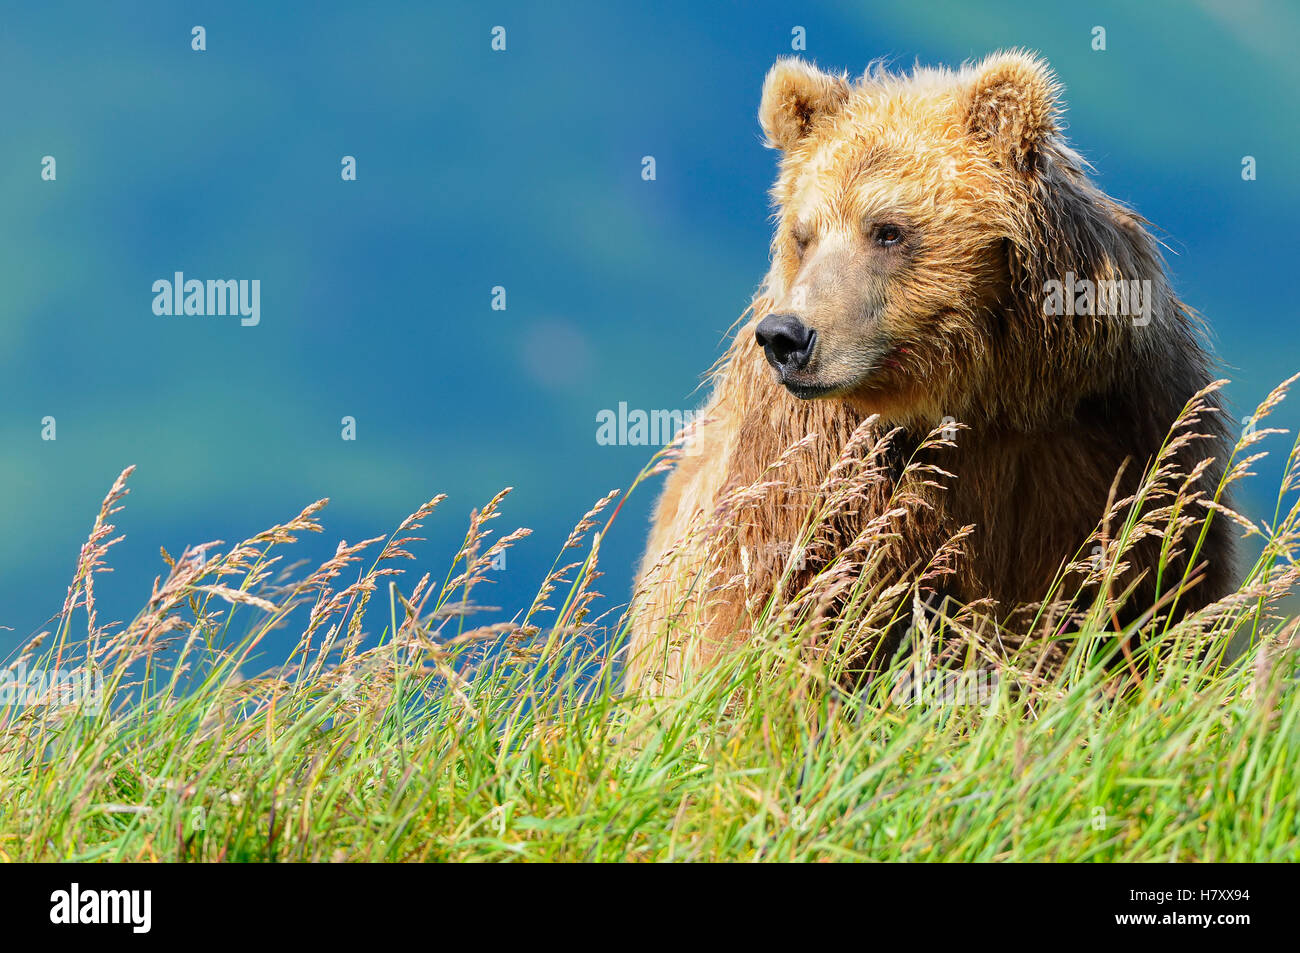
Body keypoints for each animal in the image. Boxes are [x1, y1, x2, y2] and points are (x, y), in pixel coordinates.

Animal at [629, 50, 1237, 691]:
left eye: (887, 230)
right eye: (804, 234)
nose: (786, 337)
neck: (984, 397)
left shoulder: (1120, 433)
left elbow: (1150, 593)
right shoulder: (820, 468)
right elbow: (776, 607)